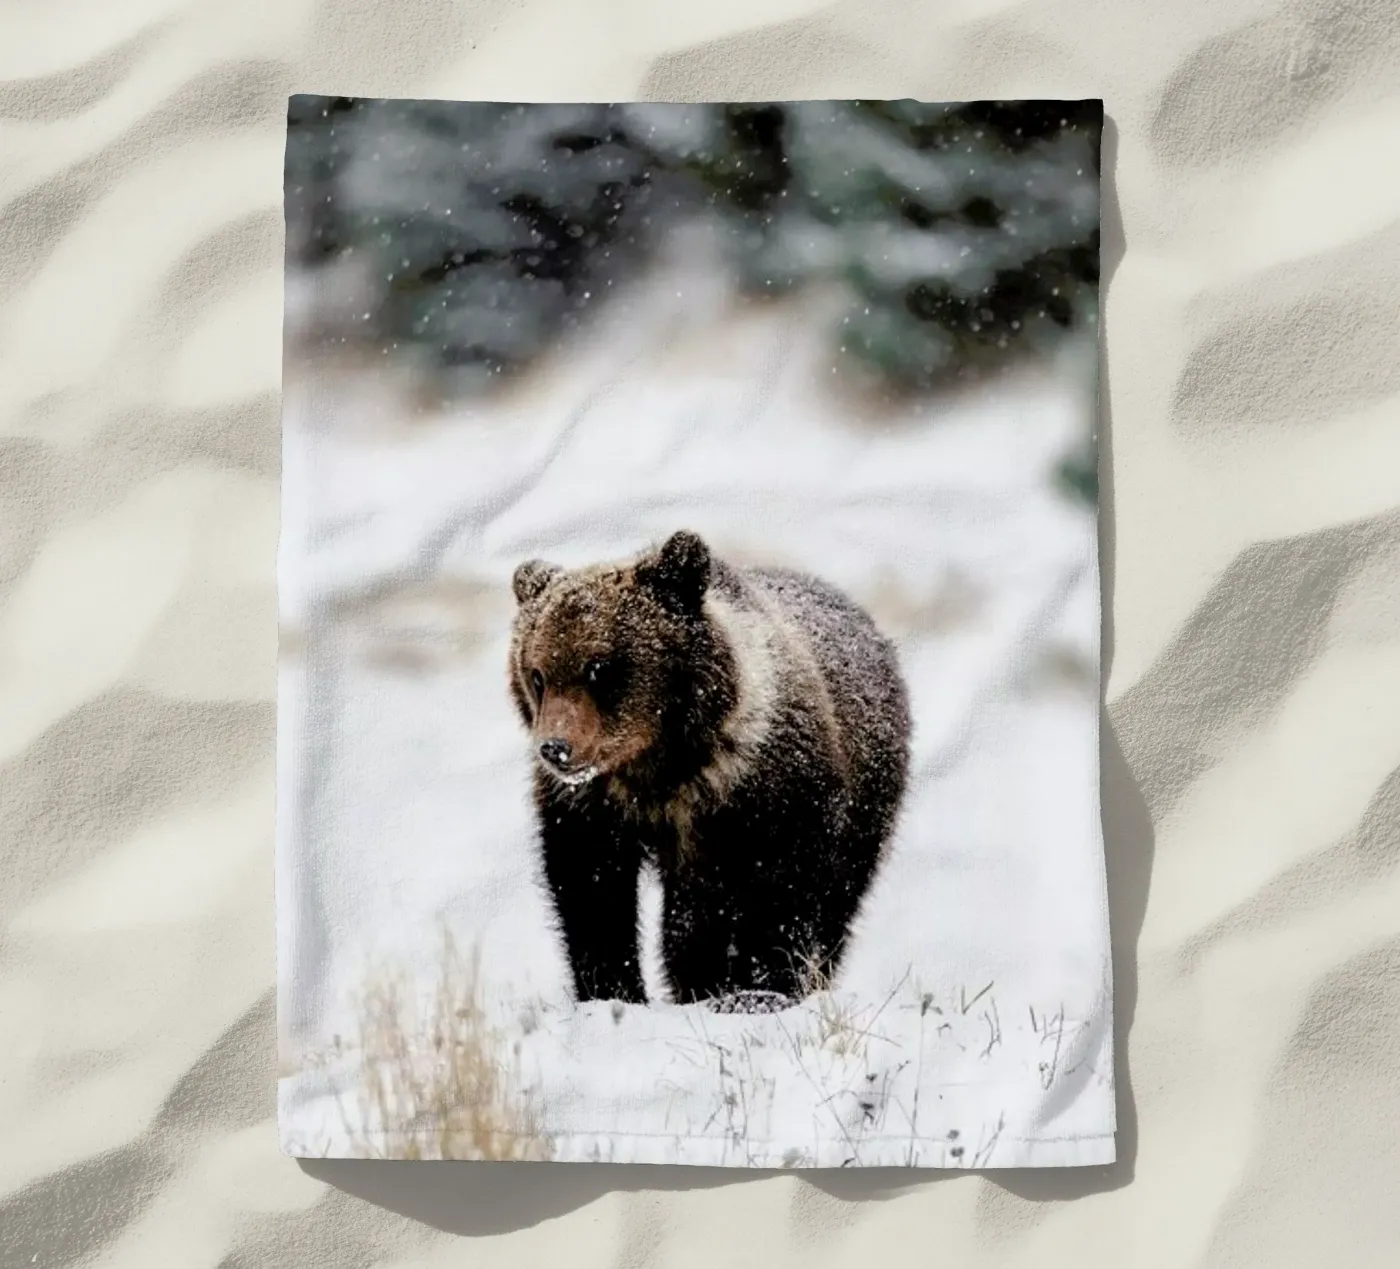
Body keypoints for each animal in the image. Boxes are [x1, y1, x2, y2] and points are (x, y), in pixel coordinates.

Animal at [507, 529, 911, 1010]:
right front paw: (614, 991)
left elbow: (778, 893)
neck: (661, 768)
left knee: (838, 900)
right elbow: (593, 893)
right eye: (537, 674)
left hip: (868, 802)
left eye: (599, 668)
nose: (556, 748)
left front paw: (760, 988)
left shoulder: (767, 793)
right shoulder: (594, 806)